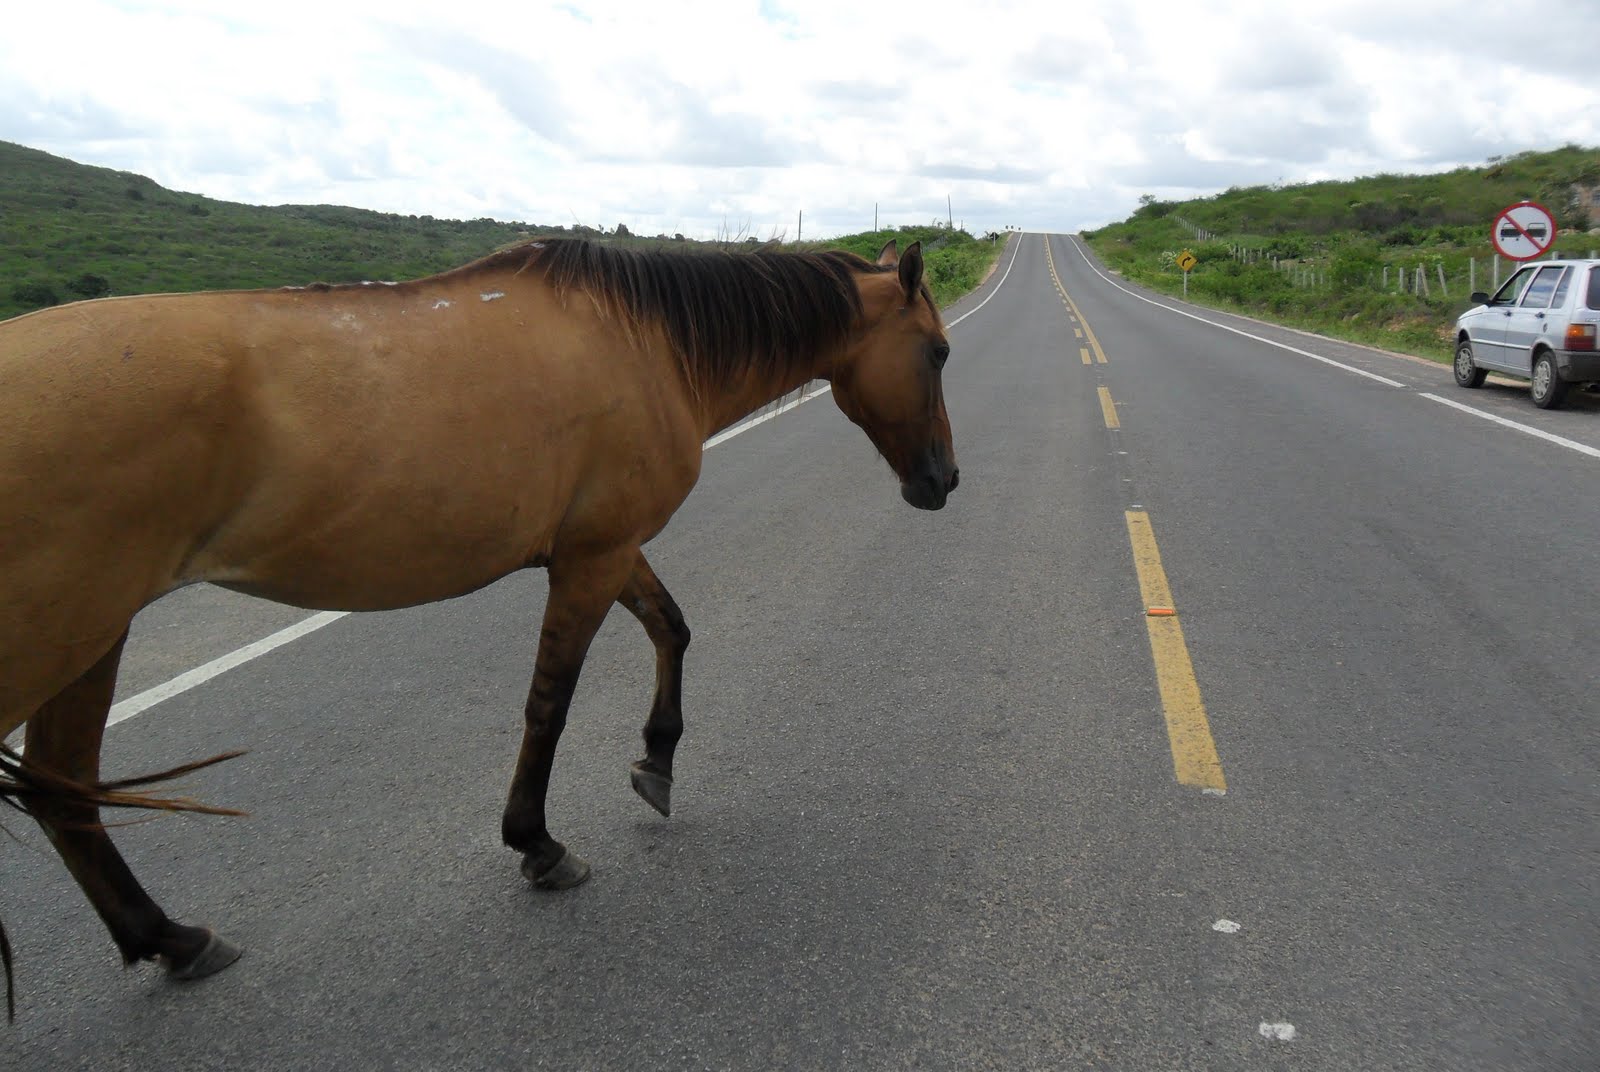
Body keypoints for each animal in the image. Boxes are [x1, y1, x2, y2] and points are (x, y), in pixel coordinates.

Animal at [0, 235, 958, 1015]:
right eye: (940, 351)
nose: (944, 481)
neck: (647, 345)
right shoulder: (594, 556)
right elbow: (550, 705)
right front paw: (538, 844)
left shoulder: (603, 548)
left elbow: (672, 631)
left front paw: (656, 761)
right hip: (65, 633)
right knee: (61, 785)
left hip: (93, 635)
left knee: (60, 786)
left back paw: (171, 940)